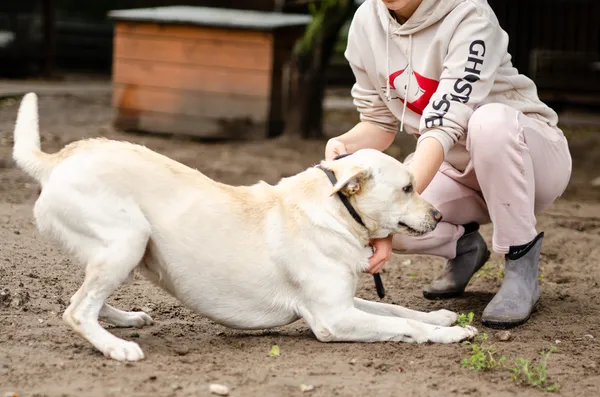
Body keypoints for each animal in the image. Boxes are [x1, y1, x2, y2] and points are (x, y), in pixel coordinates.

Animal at [11, 94, 476, 360]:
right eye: (408, 187)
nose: (439, 216)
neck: (336, 209)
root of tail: (57, 159)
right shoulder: (335, 318)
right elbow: (406, 326)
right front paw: (452, 335)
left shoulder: (346, 303)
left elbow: (398, 311)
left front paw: (442, 317)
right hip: (129, 239)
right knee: (76, 309)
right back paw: (118, 348)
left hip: (122, 250)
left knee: (87, 297)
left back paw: (123, 320)